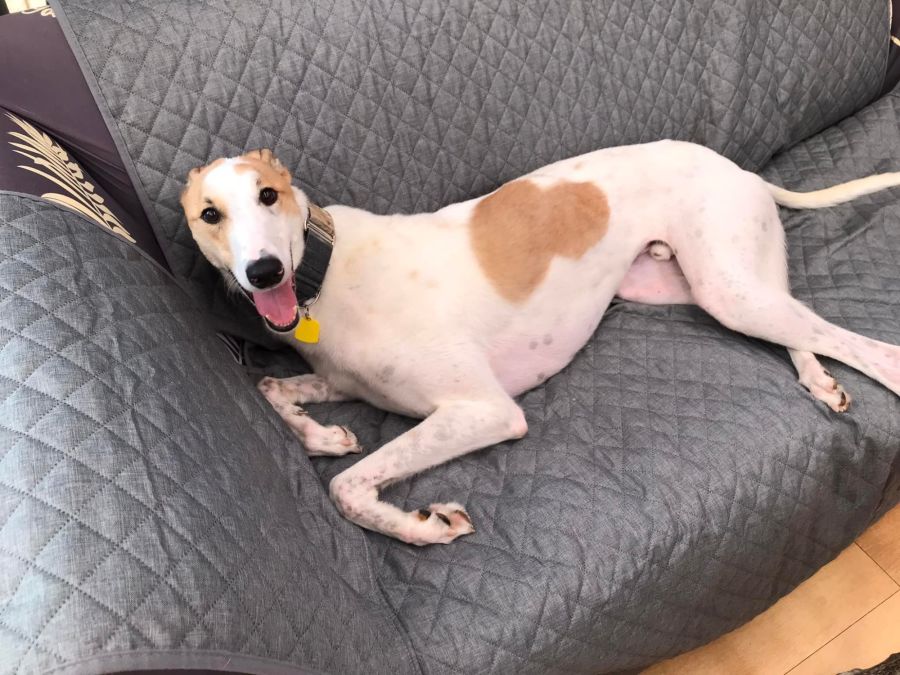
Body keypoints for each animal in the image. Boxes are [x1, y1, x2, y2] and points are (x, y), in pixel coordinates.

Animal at [181, 143, 900, 545]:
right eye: (209, 214)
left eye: (268, 195)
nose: (263, 272)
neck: (325, 273)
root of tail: (737, 167)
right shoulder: (340, 380)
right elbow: (270, 387)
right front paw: (324, 436)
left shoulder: (486, 409)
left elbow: (349, 488)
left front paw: (423, 526)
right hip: (700, 287)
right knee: (801, 323)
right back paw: (818, 380)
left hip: (726, 286)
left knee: (866, 347)